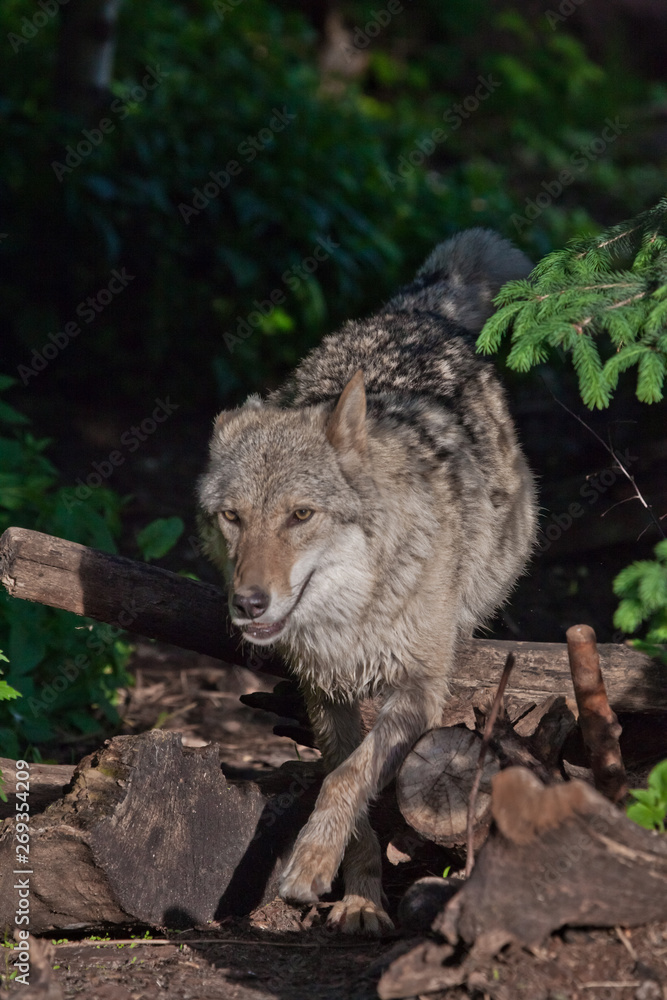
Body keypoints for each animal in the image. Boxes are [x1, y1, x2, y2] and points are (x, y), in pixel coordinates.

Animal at [198, 228, 538, 934]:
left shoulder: (418, 688)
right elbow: (346, 782)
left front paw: (309, 866)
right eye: (232, 517)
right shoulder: (325, 694)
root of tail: (414, 313)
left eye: (301, 515)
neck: (352, 616)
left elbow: (348, 779)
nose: (248, 603)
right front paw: (356, 894)